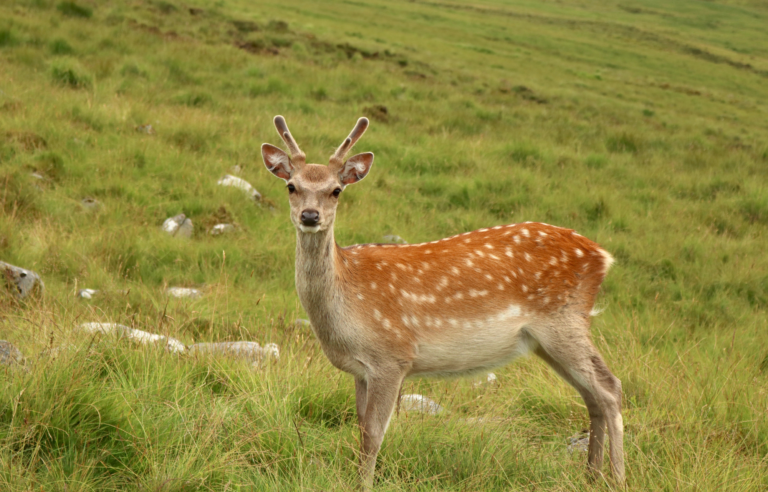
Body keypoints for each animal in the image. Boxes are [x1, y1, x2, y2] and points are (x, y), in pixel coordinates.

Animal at [261, 115, 625, 488]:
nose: (310, 215)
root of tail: (601, 256)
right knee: (591, 394)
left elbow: (373, 434)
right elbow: (360, 429)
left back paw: (618, 477)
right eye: (291, 186)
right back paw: (591, 476)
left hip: (563, 320)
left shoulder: (392, 356)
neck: (346, 299)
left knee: (610, 387)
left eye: (336, 190)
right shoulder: (361, 370)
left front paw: (364, 485)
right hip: (545, 339)